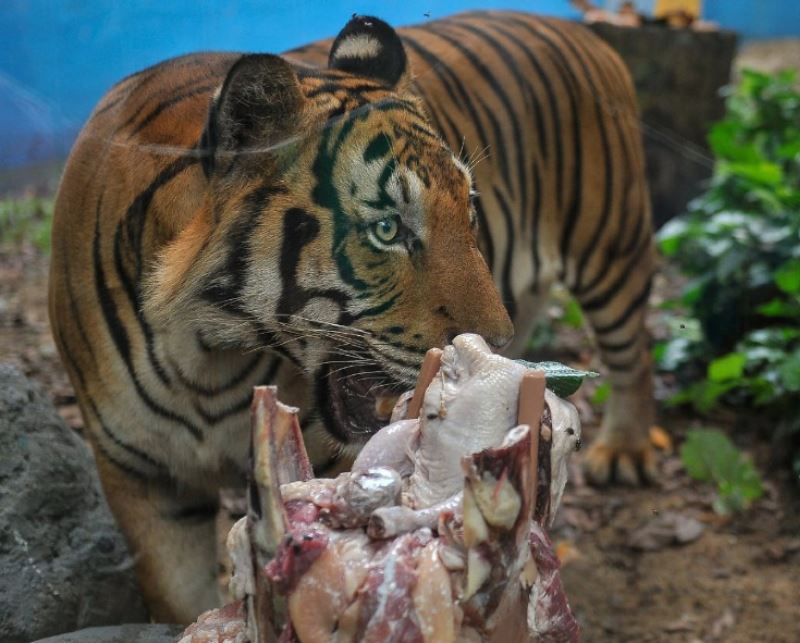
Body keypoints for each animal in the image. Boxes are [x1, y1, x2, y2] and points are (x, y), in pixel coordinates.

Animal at [48, 11, 656, 623]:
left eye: (468, 209)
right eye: (387, 229)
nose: (495, 343)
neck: (208, 354)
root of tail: (574, 26)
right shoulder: (142, 480)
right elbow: (182, 602)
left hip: (612, 247)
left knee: (634, 354)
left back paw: (624, 450)